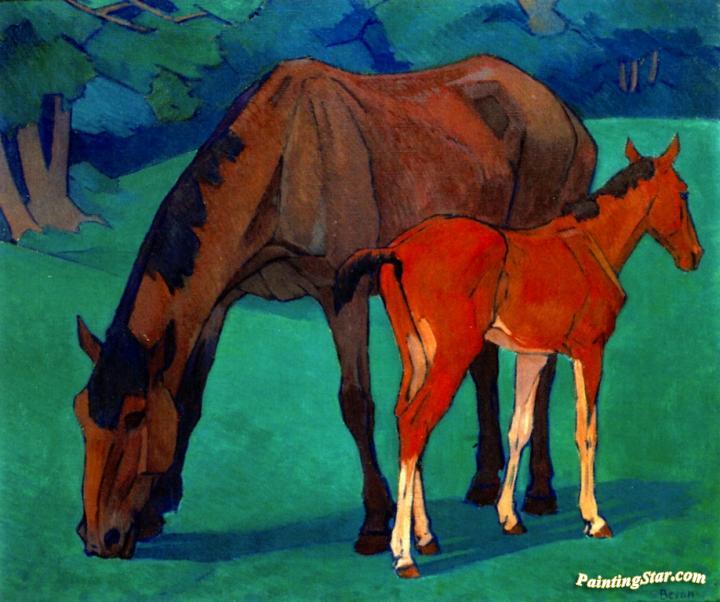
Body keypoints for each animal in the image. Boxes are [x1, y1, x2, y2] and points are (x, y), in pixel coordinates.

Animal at [72, 55, 597, 558]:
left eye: (134, 416)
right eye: (81, 415)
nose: (97, 538)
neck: (282, 161)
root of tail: (564, 112)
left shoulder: (343, 296)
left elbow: (355, 403)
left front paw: (375, 522)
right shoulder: (218, 303)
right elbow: (189, 399)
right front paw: (157, 508)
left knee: (543, 368)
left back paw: (541, 492)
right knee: (484, 366)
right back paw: (486, 482)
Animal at [334, 136, 702, 577]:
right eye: (683, 192)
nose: (695, 255)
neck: (586, 242)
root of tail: (396, 250)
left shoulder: (534, 357)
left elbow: (519, 430)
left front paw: (509, 516)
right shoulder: (589, 352)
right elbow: (587, 432)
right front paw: (594, 518)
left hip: (418, 358)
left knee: (406, 421)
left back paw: (425, 537)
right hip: (452, 358)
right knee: (416, 422)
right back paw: (403, 553)